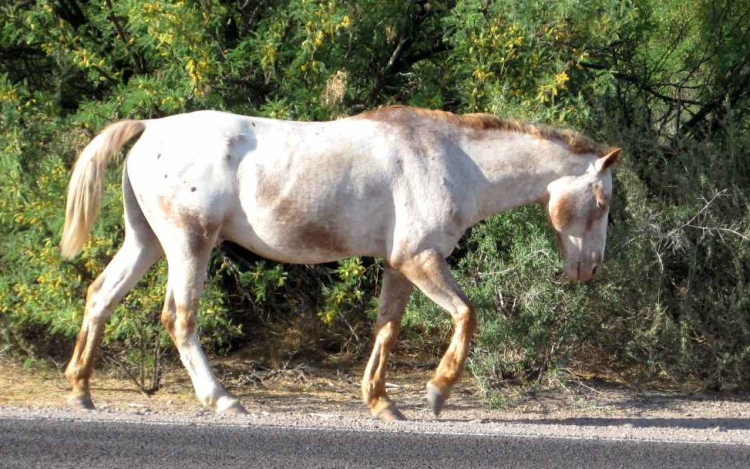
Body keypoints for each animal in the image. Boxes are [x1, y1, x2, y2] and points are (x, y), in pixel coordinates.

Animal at [60, 106, 624, 420]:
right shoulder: (420, 257)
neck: (455, 160)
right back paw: (222, 399)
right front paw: (436, 394)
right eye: (601, 202)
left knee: (101, 296)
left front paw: (382, 402)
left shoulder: (400, 264)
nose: (590, 269)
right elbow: (467, 315)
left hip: (146, 242)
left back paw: (81, 390)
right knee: (179, 318)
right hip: (188, 244)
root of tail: (150, 127)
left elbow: (386, 329)